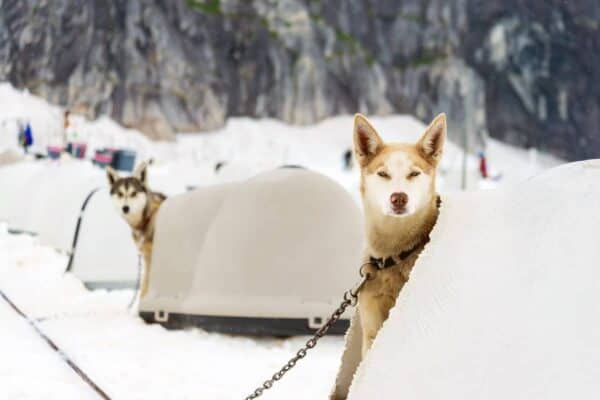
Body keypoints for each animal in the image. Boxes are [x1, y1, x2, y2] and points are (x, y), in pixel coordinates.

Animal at [106, 162, 166, 296]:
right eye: (120, 194)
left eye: (134, 193)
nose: (125, 208)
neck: (147, 218)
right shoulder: (147, 258)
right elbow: (144, 288)